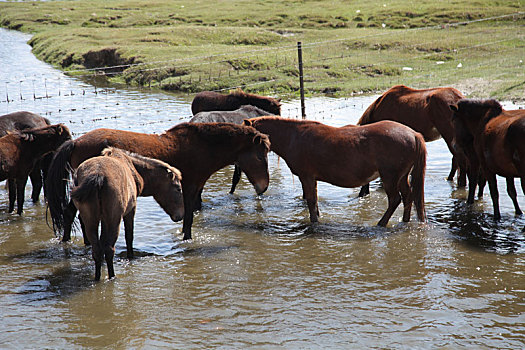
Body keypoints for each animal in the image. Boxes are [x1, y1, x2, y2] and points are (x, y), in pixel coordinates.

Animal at [45, 122, 270, 241]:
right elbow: (188, 218)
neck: (201, 147)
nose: (263, 186)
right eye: (260, 156)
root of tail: (75, 142)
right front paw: (187, 239)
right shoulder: (188, 189)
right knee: (70, 214)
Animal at [71, 148, 182, 282]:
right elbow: (129, 236)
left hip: (90, 220)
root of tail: (97, 176)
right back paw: (112, 276)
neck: (136, 173)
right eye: (178, 188)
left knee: (96, 250)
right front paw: (131, 256)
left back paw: (97, 277)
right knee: (109, 249)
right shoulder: (130, 210)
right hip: (114, 219)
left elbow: (102, 241)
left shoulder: (103, 219)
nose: (180, 215)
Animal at [246, 117, 426, 227]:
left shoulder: (307, 177)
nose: (261, 187)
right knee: (408, 197)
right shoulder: (312, 178)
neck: (293, 137)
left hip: (390, 177)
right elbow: (314, 201)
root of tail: (413, 134)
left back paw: (381, 223)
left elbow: (311, 201)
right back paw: (405, 221)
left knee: (395, 200)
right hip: (402, 177)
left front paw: (314, 223)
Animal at [448, 98, 524, 227]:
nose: (454, 145)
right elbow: (512, 192)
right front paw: (518, 212)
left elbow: (494, 192)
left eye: (453, 121)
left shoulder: (486, 167)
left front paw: (497, 217)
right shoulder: (507, 171)